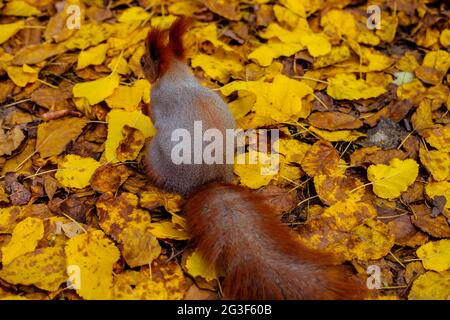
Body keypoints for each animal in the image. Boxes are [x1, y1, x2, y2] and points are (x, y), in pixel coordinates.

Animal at [141, 18, 370, 300]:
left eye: (144, 61)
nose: (138, 64)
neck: (177, 77)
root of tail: (207, 182)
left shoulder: (158, 101)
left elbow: (152, 112)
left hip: (154, 156)